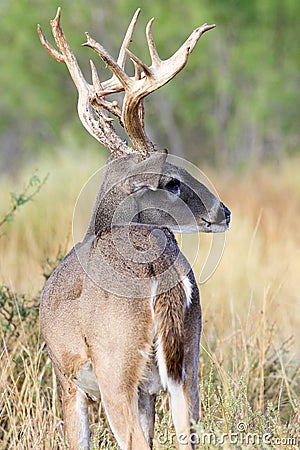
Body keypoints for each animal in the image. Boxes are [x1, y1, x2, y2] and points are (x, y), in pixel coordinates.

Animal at [37, 7, 230, 450]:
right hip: (187, 362)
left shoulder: (67, 378)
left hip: (115, 364)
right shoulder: (151, 388)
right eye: (172, 181)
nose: (225, 212)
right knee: (187, 434)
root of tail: (159, 268)